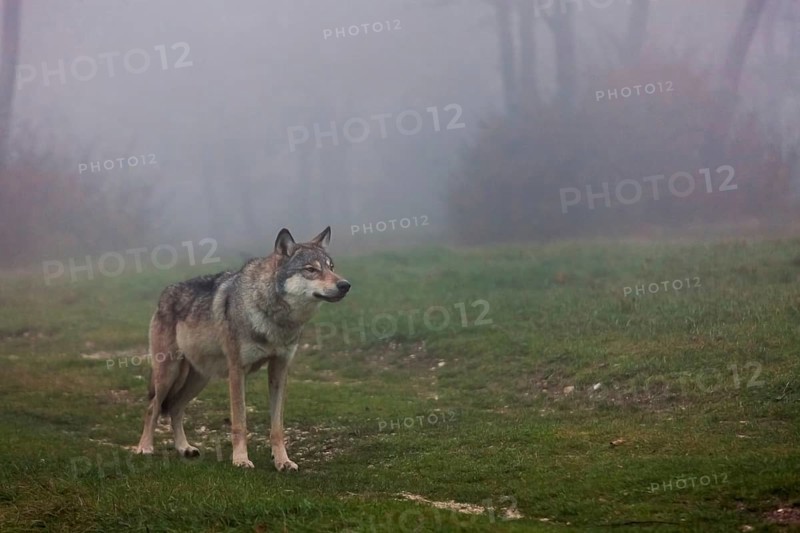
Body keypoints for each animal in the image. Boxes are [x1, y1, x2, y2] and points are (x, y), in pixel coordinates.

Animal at [135, 227, 350, 471]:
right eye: (311, 270)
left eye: (331, 267)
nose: (345, 285)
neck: (274, 317)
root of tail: (164, 294)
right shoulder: (237, 371)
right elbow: (240, 422)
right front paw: (240, 459)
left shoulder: (279, 370)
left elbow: (277, 427)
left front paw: (283, 461)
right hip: (168, 374)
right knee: (153, 407)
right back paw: (145, 447)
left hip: (199, 379)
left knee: (174, 408)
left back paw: (184, 448)